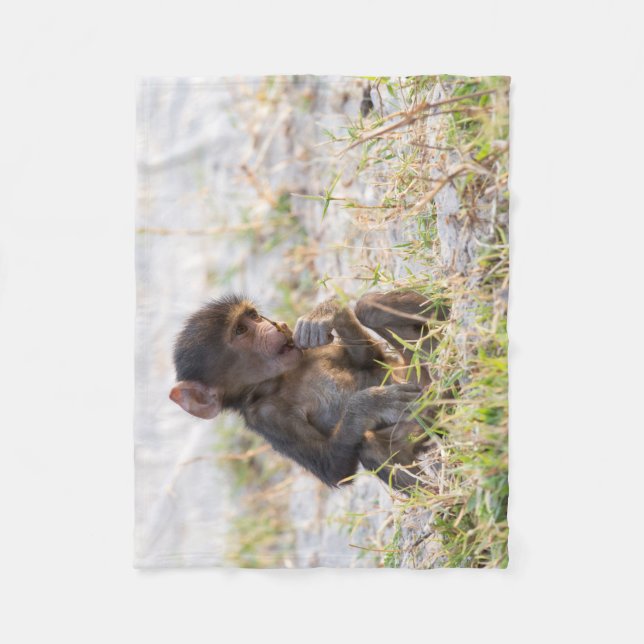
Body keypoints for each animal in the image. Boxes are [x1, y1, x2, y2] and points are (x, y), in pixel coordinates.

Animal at [169, 291, 447, 489]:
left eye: (254, 316)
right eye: (240, 330)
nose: (276, 325)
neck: (282, 378)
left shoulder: (309, 349)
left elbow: (372, 361)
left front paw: (326, 313)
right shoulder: (265, 417)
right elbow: (333, 470)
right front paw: (370, 404)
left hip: (416, 368)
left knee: (370, 310)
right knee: (371, 445)